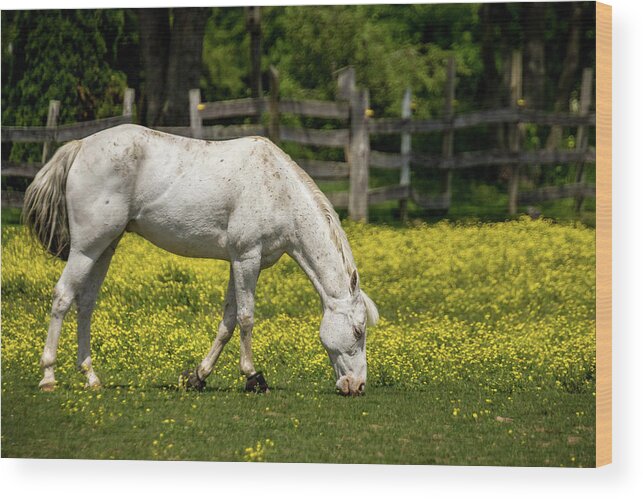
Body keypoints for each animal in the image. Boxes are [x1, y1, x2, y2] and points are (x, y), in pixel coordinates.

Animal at [23, 125, 378, 398]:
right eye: (358, 330)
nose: (357, 386)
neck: (278, 190)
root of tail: (80, 146)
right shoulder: (247, 258)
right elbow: (246, 318)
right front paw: (253, 377)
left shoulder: (241, 262)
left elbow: (228, 322)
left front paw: (198, 376)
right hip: (85, 249)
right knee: (63, 298)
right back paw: (48, 376)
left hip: (104, 248)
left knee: (85, 304)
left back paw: (91, 377)